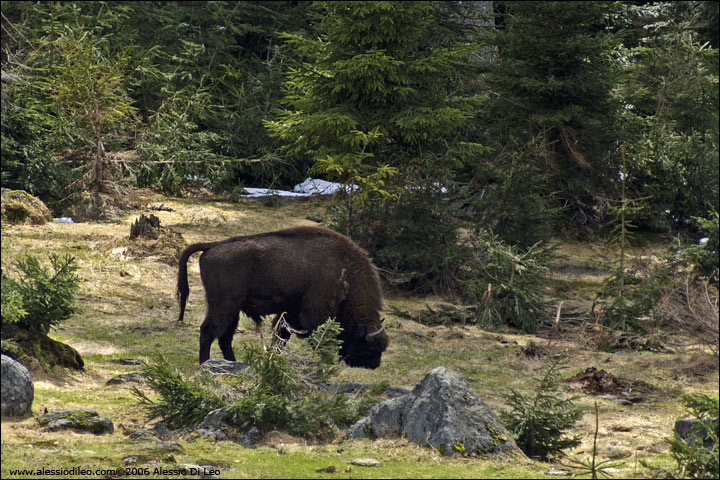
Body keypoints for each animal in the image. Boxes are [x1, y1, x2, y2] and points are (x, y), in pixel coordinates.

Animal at [176, 225, 388, 368]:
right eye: (369, 348)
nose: (374, 364)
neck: (346, 269)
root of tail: (213, 246)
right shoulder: (314, 314)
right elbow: (319, 340)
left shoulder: (290, 314)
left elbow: (280, 338)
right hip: (224, 306)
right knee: (208, 332)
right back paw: (205, 364)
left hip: (232, 309)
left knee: (224, 338)